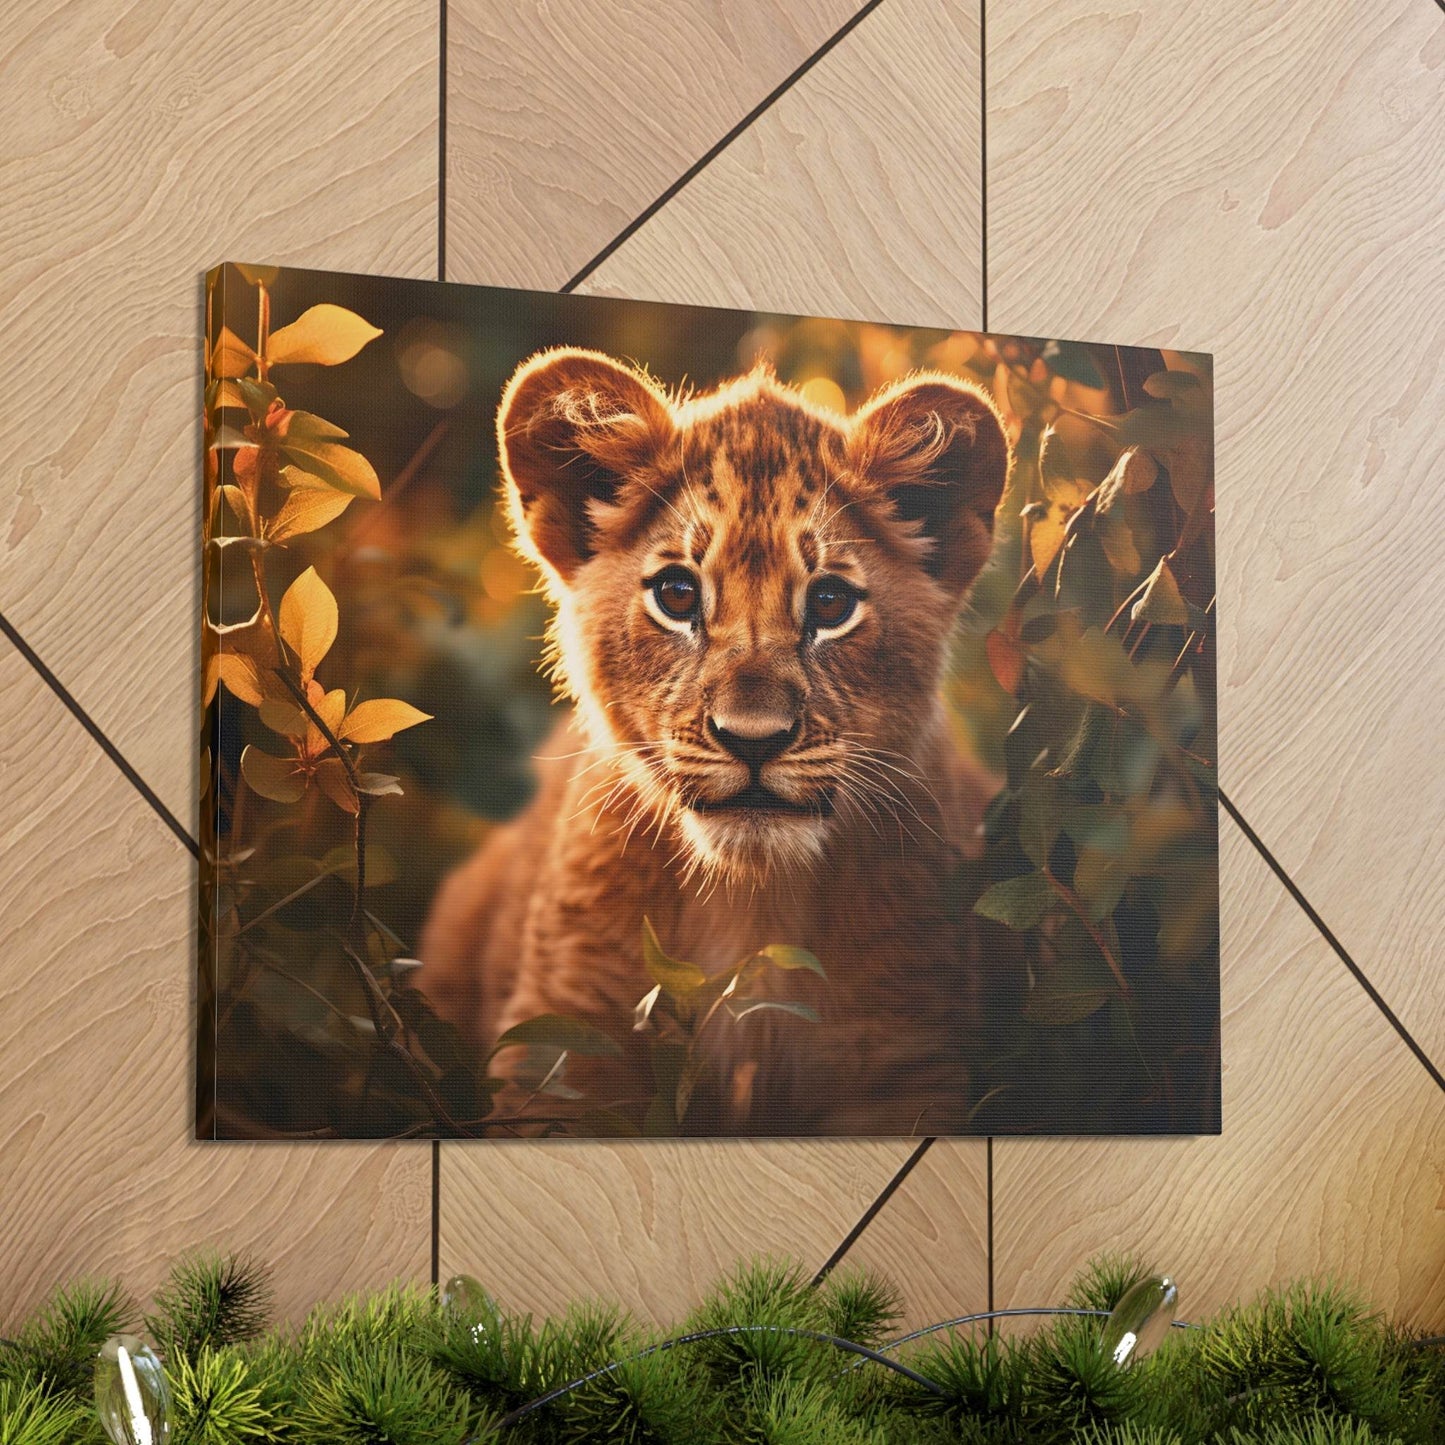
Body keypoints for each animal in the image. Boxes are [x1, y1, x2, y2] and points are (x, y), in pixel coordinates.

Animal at [416, 346, 1014, 1135]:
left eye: (830, 603)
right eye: (676, 595)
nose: (752, 740)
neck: (750, 902)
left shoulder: (901, 1060)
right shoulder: (563, 1046)